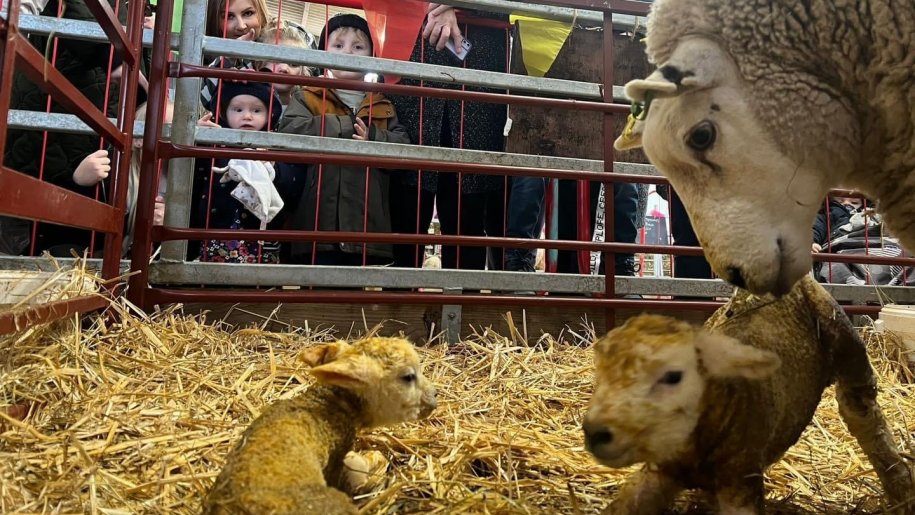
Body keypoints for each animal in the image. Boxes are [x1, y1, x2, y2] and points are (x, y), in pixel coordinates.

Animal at [584, 278, 912, 515]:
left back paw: (901, 488)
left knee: (861, 411)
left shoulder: (742, 479)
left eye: (673, 376)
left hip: (845, 341)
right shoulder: (661, 470)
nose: (595, 432)